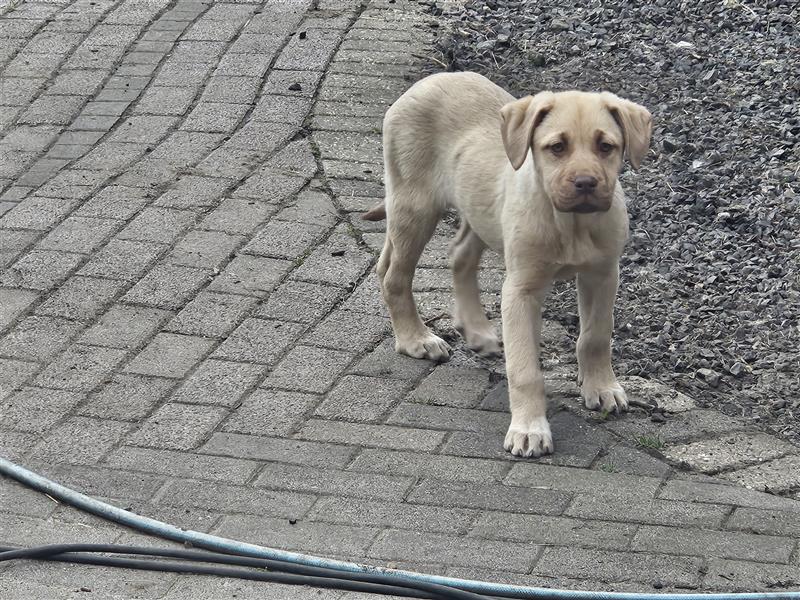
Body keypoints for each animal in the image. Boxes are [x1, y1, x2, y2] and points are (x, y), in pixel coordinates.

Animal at [372, 71, 652, 454]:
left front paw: (601, 387)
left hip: (478, 210)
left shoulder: (603, 275)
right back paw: (416, 339)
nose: (585, 183)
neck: (571, 224)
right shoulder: (521, 290)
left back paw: (477, 331)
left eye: (605, 146)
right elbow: (525, 369)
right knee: (394, 276)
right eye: (557, 147)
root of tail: (432, 78)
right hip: (414, 207)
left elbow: (596, 336)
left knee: (459, 255)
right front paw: (529, 428)